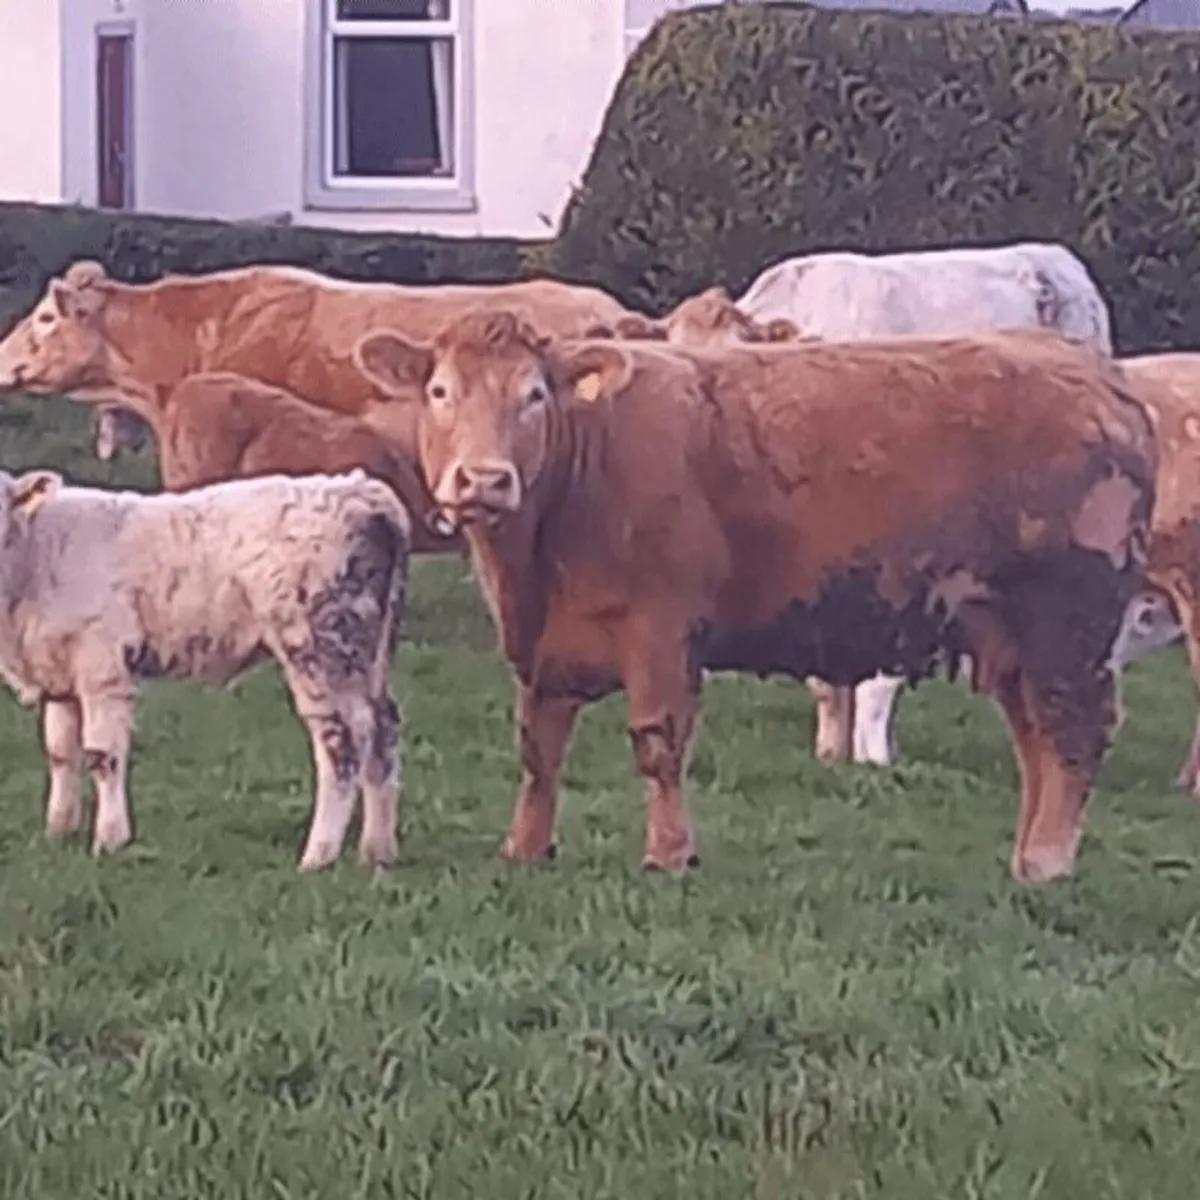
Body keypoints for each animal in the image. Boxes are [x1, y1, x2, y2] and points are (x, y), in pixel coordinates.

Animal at [0, 467, 409, 871]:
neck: (35, 552)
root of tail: (361, 490)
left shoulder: (104, 669)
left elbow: (103, 756)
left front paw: (110, 840)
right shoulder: (58, 674)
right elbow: (60, 753)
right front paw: (58, 832)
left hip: (320, 646)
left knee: (344, 740)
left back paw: (318, 856)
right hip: (370, 651)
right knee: (383, 729)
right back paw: (377, 851)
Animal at [351, 311, 1156, 884]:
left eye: (535, 396)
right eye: (440, 392)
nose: (484, 480)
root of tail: (1097, 372)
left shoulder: (662, 628)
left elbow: (657, 743)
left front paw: (669, 853)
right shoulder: (545, 648)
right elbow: (538, 750)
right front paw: (523, 847)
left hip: (1068, 624)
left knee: (1076, 733)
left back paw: (1046, 863)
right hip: (1013, 636)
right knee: (1036, 739)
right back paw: (1025, 857)